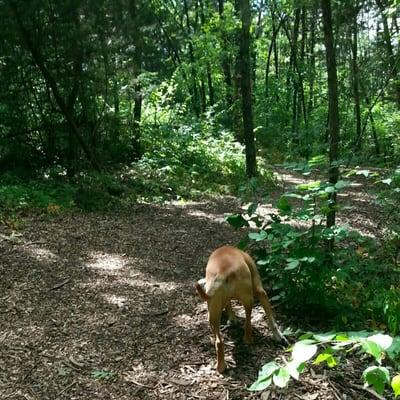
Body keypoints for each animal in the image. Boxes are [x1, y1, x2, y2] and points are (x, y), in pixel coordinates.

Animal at [195, 245, 286, 374]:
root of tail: (224, 271)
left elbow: (229, 306)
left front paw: (232, 319)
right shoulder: (260, 291)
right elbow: (271, 319)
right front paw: (278, 336)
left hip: (213, 314)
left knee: (219, 342)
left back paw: (221, 367)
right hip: (249, 300)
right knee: (247, 324)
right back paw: (249, 339)